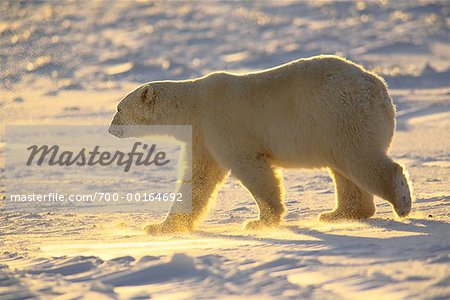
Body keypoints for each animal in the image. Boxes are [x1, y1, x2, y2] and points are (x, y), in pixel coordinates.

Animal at [110, 55, 414, 234]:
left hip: (339, 114)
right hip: (334, 124)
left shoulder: (222, 122)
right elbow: (198, 178)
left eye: (118, 108)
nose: (111, 128)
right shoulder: (202, 134)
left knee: (358, 157)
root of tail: (380, 89)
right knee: (343, 167)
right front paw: (160, 226)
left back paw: (401, 200)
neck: (194, 104)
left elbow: (249, 166)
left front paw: (261, 220)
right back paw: (337, 214)